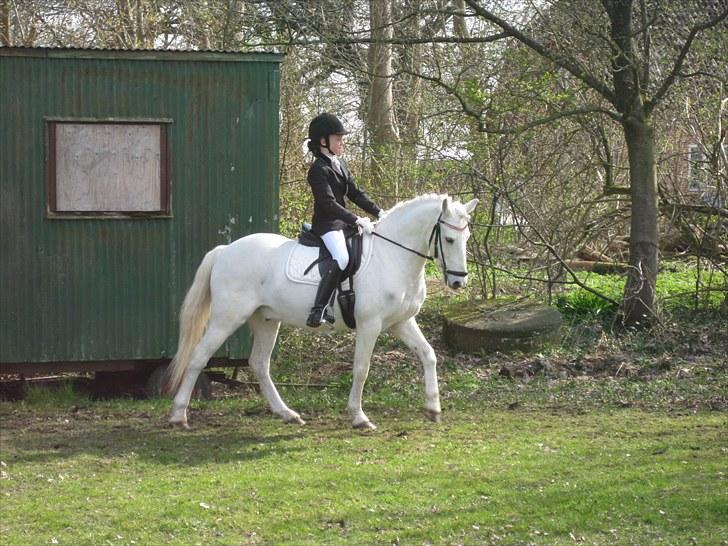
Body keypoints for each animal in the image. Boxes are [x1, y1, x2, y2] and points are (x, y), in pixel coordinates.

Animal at [168, 194, 478, 430]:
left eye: (467, 236)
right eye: (449, 239)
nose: (459, 282)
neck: (392, 256)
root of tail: (225, 250)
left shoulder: (401, 322)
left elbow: (428, 354)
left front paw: (433, 408)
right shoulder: (370, 325)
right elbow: (362, 369)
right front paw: (359, 417)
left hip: (266, 319)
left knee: (259, 363)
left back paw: (287, 414)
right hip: (227, 318)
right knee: (199, 357)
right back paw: (178, 416)